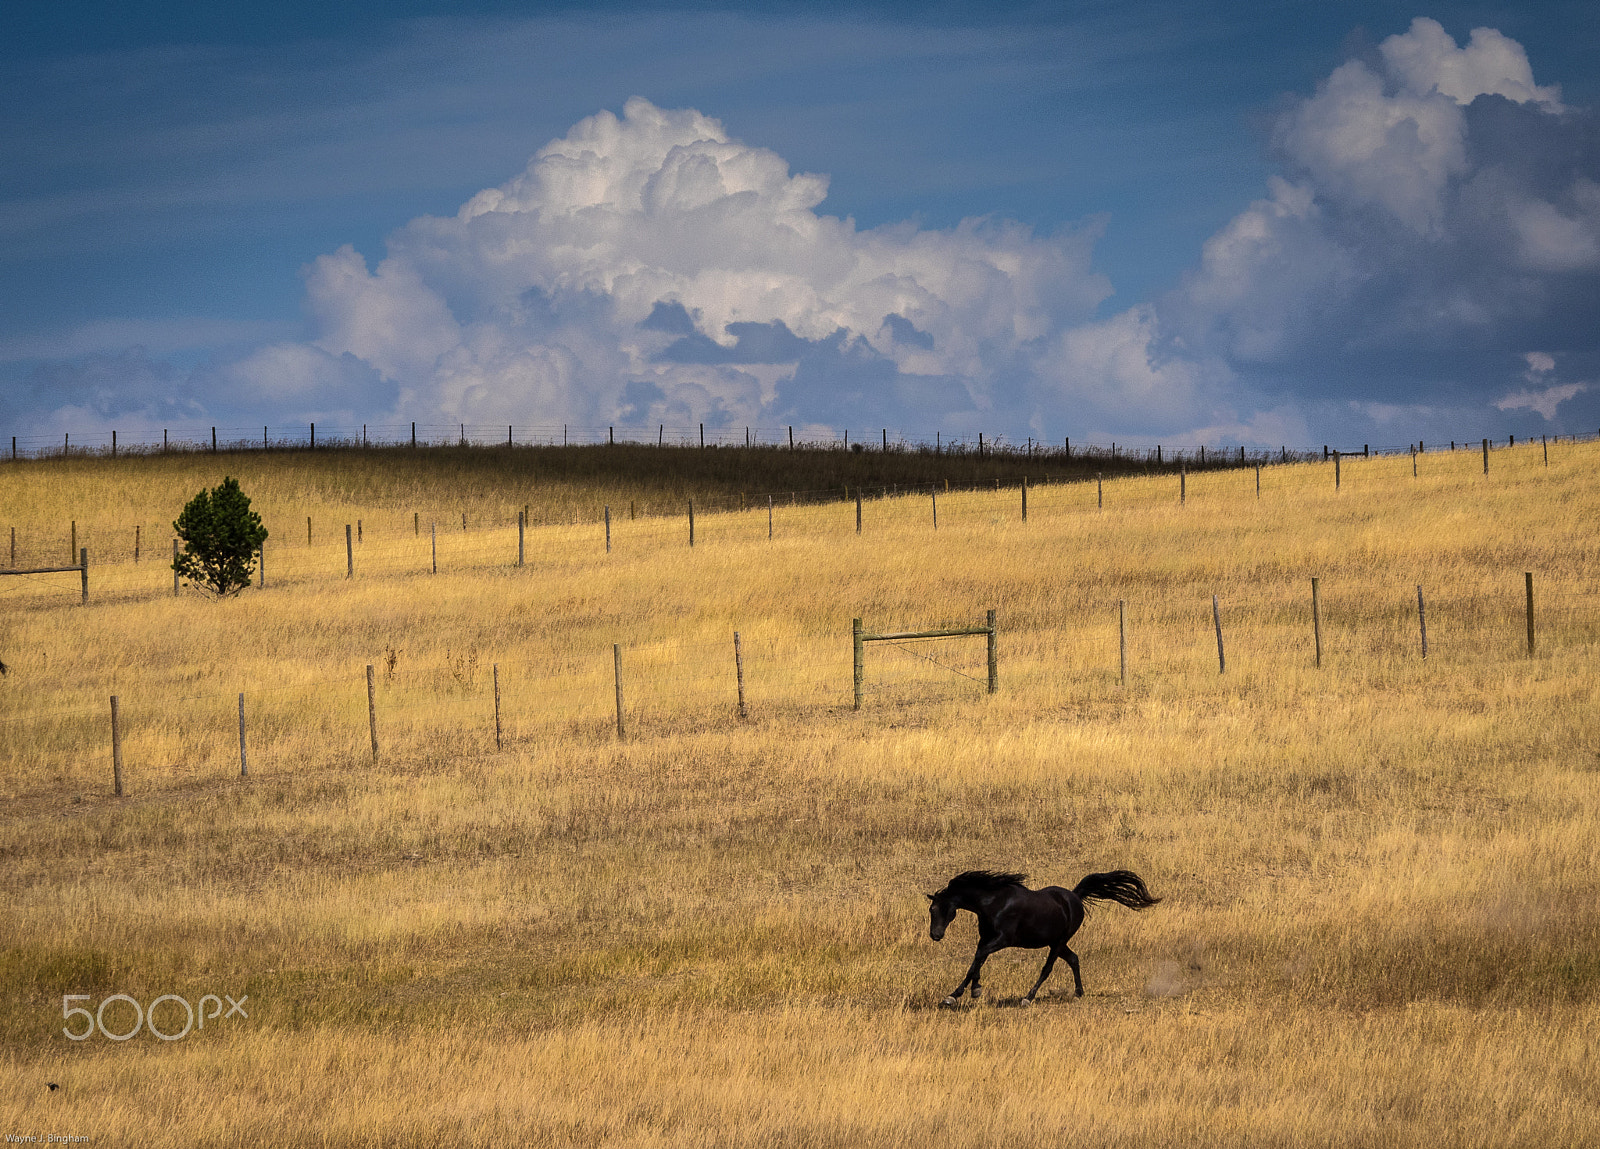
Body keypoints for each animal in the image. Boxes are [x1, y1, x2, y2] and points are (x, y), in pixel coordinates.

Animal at [926, 869, 1160, 1006]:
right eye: (931, 909)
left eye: (941, 908)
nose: (935, 935)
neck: (994, 903)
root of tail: (1075, 896)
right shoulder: (985, 939)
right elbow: (977, 960)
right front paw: (965, 992)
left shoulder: (1003, 940)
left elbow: (979, 957)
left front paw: (964, 993)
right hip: (1057, 942)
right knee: (1074, 959)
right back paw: (1078, 992)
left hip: (1058, 943)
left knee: (1047, 969)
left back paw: (1028, 998)